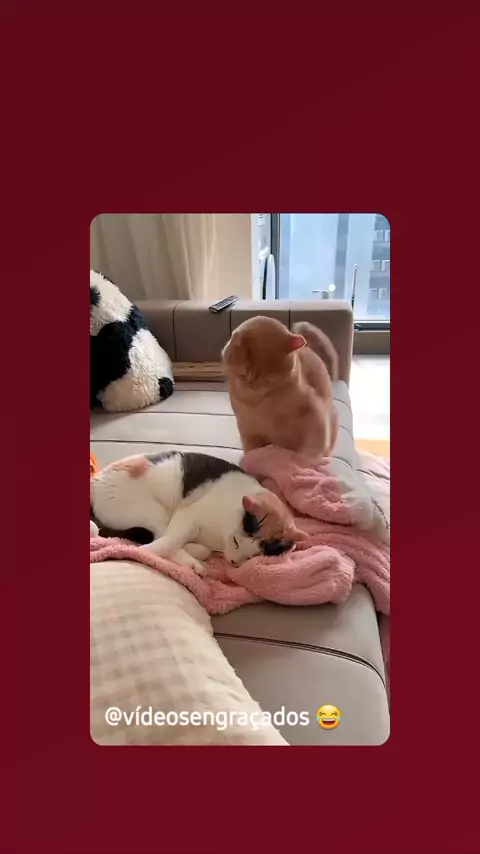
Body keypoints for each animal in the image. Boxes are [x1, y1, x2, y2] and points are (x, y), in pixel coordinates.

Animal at [90, 450, 308, 575]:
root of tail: (94, 481)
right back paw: (193, 559)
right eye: (237, 542)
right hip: (153, 511)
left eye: (251, 557)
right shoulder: (187, 515)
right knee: (162, 537)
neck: (222, 535)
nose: (233, 562)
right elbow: (168, 541)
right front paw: (138, 552)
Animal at [222, 317, 339, 464]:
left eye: (269, 380)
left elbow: (311, 448)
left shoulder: (315, 413)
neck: (257, 403)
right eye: (242, 375)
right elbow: (251, 449)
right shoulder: (248, 431)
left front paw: (302, 461)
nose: (252, 385)